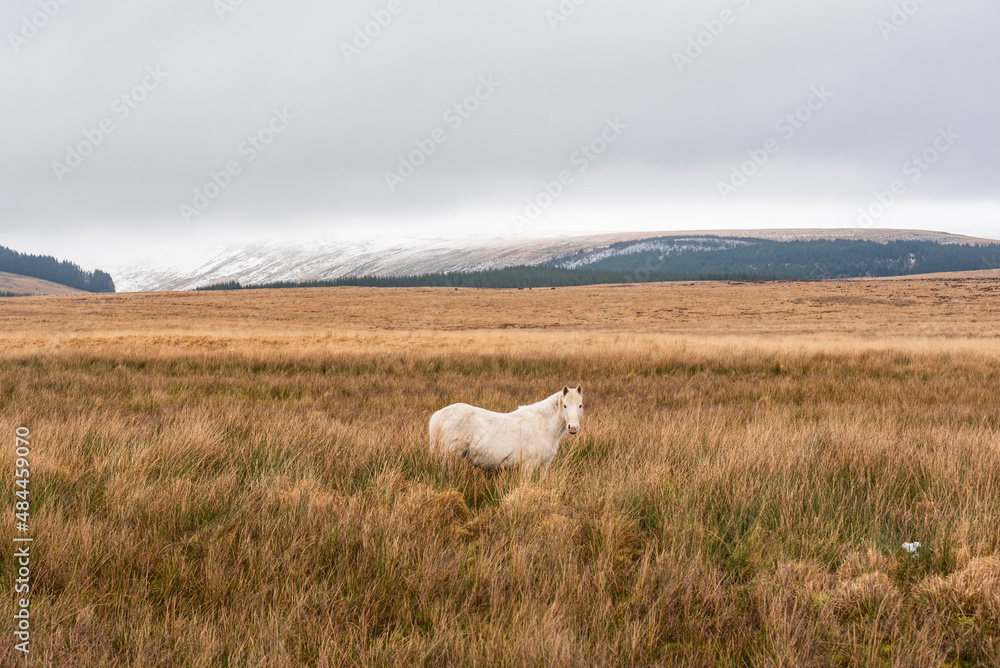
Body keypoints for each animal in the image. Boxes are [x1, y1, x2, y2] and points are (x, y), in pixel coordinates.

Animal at [429, 386, 583, 470]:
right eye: (565, 405)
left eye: (580, 405)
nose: (573, 427)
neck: (543, 425)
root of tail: (438, 415)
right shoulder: (528, 465)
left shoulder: (543, 465)